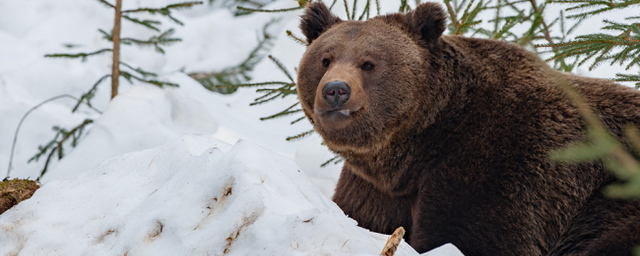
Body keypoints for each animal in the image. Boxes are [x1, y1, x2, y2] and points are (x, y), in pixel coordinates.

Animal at [298, 1, 640, 255]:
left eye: (369, 63)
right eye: (325, 59)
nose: (336, 90)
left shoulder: (497, 164)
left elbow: (471, 235)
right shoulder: (375, 189)